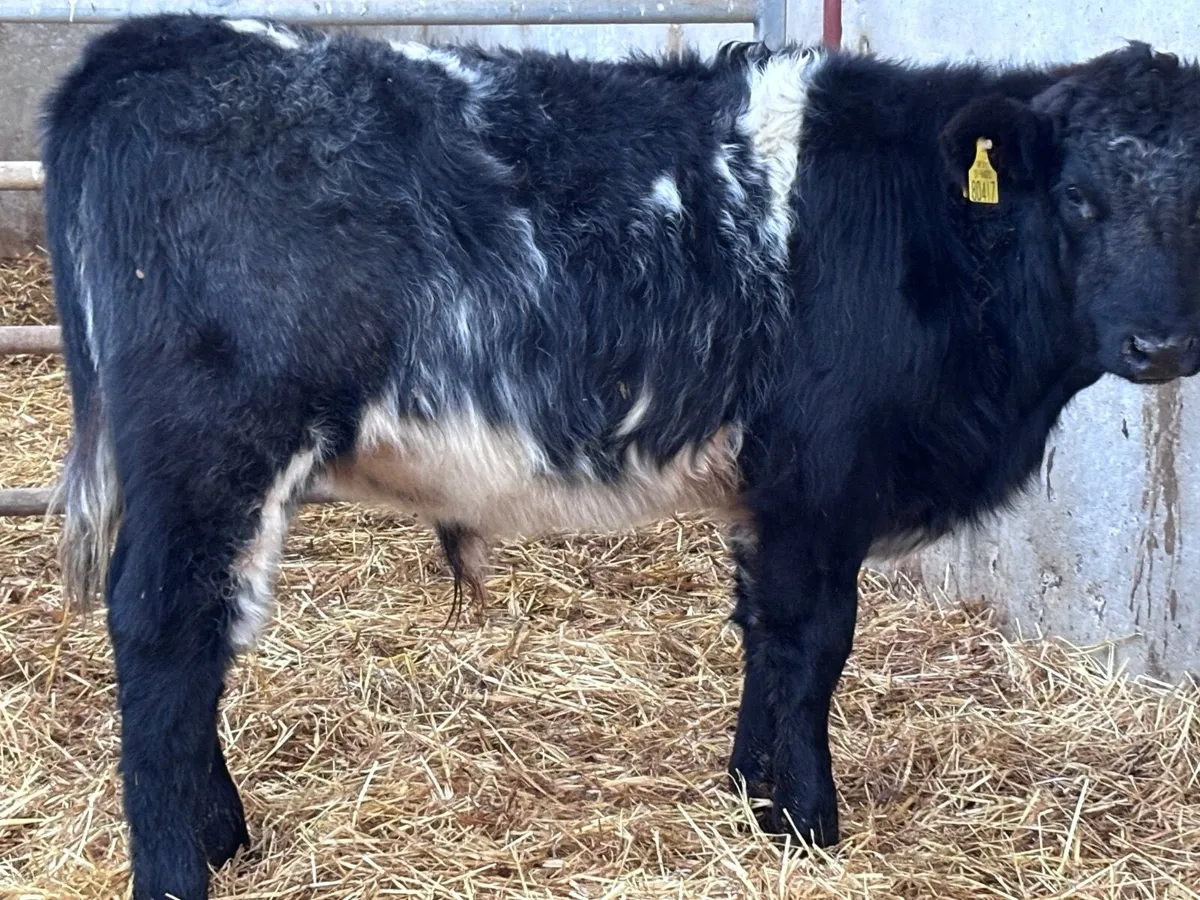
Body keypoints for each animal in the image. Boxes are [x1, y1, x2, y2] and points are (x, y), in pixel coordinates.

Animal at [39, 13, 1200, 899]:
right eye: (1079, 200)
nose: (1163, 344)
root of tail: (147, 45)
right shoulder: (819, 482)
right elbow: (812, 645)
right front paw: (807, 822)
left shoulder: (768, 498)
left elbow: (761, 638)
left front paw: (750, 790)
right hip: (212, 451)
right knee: (168, 632)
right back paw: (178, 868)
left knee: (199, 636)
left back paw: (224, 834)